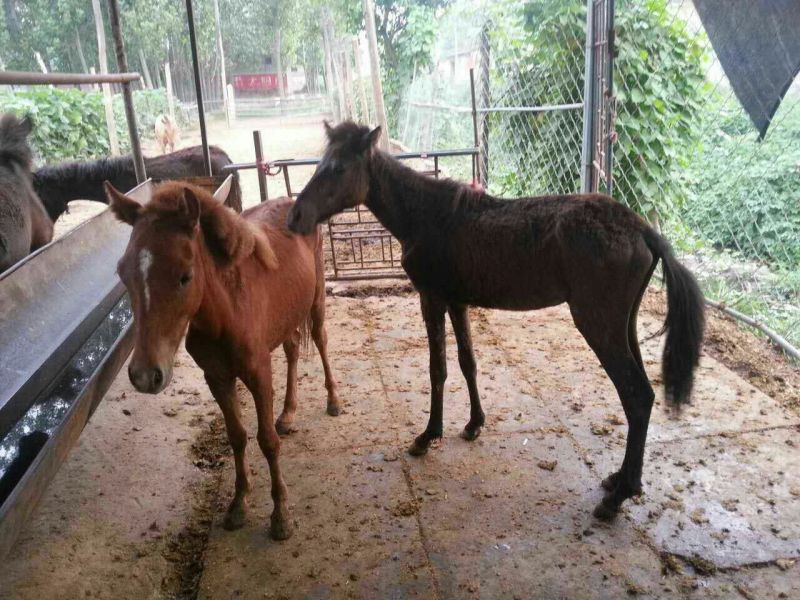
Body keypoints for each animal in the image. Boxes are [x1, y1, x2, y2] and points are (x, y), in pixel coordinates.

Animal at [106, 180, 341, 540]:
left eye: (185, 275)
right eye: (122, 272)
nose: (146, 375)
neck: (225, 313)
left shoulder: (258, 374)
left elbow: (266, 441)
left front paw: (281, 515)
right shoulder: (216, 378)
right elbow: (237, 437)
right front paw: (238, 504)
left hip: (316, 301)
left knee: (320, 340)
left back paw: (333, 400)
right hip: (287, 317)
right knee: (291, 350)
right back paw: (288, 414)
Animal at [287, 121, 705, 520]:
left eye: (338, 168)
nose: (295, 217)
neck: (427, 216)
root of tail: (642, 229)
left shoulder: (432, 299)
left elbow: (437, 368)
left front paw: (428, 435)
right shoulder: (457, 303)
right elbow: (467, 362)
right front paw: (473, 424)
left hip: (599, 327)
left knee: (636, 395)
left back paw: (617, 498)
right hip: (624, 327)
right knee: (642, 396)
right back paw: (622, 481)